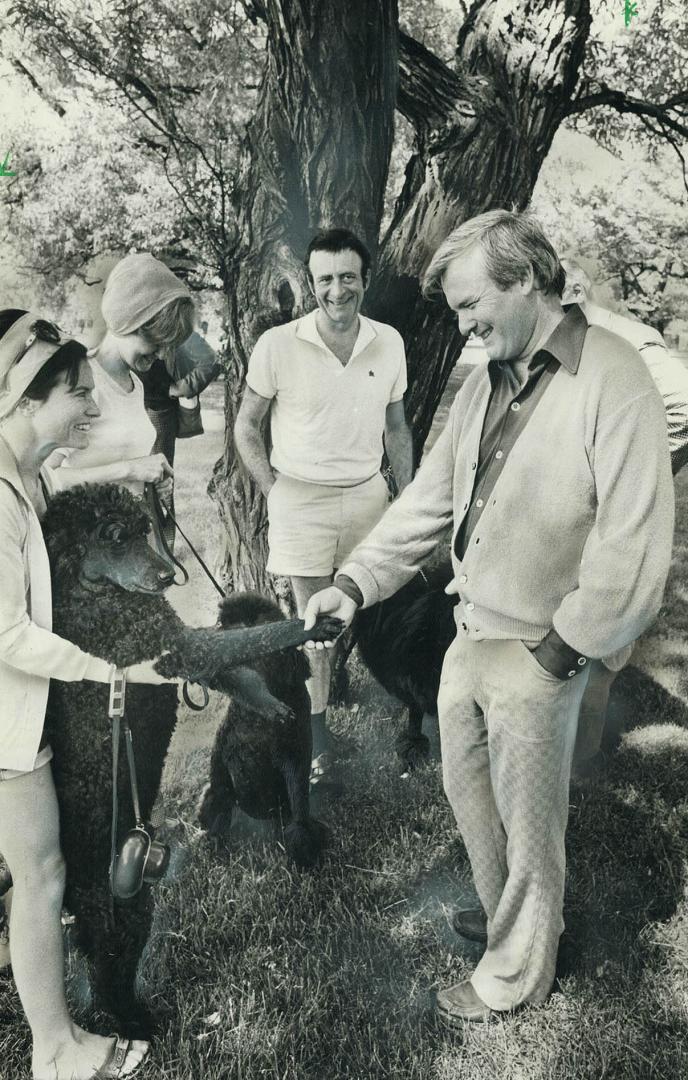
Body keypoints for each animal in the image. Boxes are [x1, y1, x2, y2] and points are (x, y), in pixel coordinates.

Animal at [198, 591, 328, 868]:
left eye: (259, 635)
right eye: (223, 623)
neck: (257, 721)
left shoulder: (295, 760)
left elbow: (300, 812)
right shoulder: (222, 765)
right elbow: (218, 799)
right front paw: (212, 842)